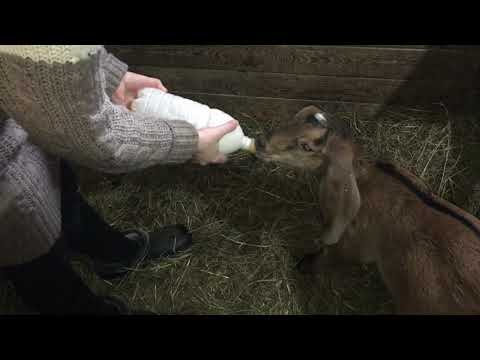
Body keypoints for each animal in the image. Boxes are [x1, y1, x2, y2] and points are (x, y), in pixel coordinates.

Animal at [256, 105, 480, 314]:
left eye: (306, 146)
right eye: (296, 118)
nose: (260, 142)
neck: (368, 179)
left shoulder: (352, 245)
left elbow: (328, 256)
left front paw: (304, 264)